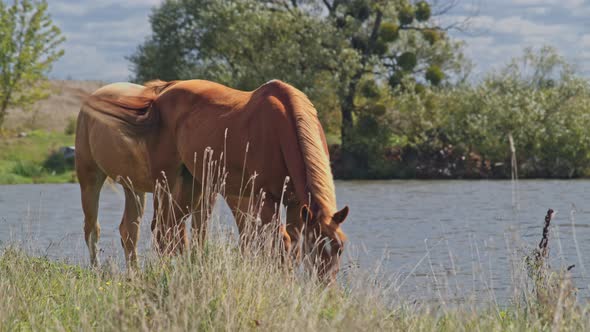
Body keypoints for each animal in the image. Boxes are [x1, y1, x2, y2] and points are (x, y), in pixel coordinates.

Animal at [78, 80, 350, 280]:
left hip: (186, 186)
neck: (282, 126)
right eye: (317, 248)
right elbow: (279, 242)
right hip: (139, 182)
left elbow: (292, 244)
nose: (326, 285)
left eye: (340, 248)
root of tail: (160, 94)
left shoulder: (295, 204)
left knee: (155, 232)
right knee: (143, 231)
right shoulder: (266, 199)